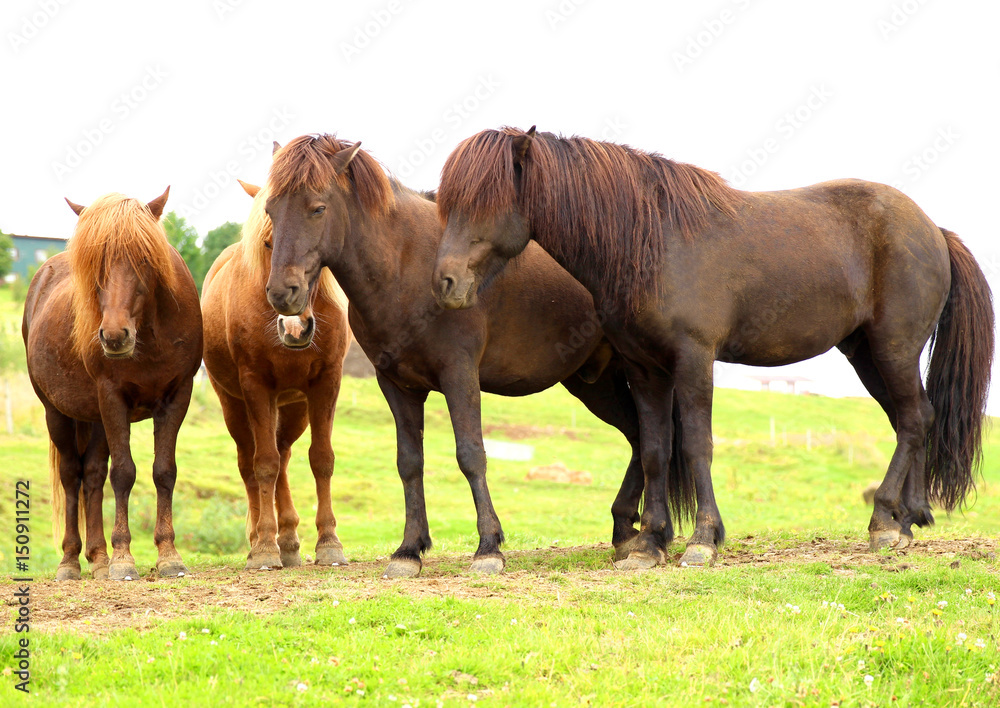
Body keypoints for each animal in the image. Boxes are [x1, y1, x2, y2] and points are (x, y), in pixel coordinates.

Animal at [22, 189, 203, 580]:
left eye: (144, 259)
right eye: (94, 265)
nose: (114, 335)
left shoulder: (176, 398)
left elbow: (164, 471)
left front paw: (168, 555)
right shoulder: (112, 398)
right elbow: (124, 473)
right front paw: (124, 558)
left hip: (95, 419)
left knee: (92, 476)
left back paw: (98, 557)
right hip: (57, 412)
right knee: (72, 476)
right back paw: (71, 561)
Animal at [201, 179, 351, 570]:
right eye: (268, 243)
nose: (294, 326)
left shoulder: (326, 383)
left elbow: (321, 459)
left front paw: (329, 542)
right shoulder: (256, 386)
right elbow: (263, 465)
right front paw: (265, 547)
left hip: (294, 407)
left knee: (283, 454)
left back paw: (289, 539)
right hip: (234, 405)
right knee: (250, 463)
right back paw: (260, 539)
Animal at [260, 134, 678, 577]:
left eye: (318, 208)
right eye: (270, 210)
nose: (282, 293)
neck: (405, 265)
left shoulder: (459, 374)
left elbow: (471, 454)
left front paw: (488, 547)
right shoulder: (396, 385)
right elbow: (409, 462)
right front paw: (408, 551)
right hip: (595, 384)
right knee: (639, 437)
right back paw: (628, 532)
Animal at [432, 126, 994, 569]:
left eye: (485, 203)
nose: (445, 282)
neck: (653, 241)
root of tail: (933, 229)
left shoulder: (693, 359)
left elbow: (696, 443)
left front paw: (703, 539)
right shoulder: (646, 369)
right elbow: (656, 449)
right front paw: (650, 543)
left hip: (893, 347)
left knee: (915, 418)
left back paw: (883, 523)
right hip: (866, 355)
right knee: (912, 418)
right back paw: (909, 519)